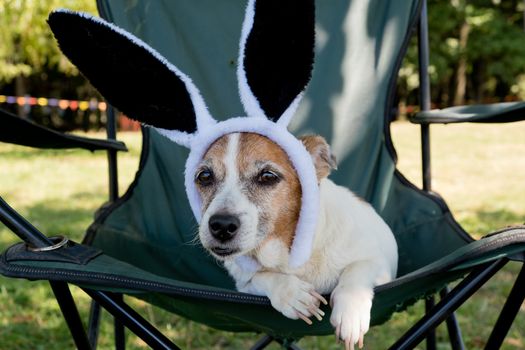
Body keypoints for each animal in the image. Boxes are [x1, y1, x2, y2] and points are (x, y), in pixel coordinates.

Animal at [193, 131, 398, 348]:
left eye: (267, 176)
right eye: (204, 176)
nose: (221, 225)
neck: (287, 253)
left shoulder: (381, 266)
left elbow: (355, 271)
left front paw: (351, 314)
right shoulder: (245, 286)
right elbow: (263, 277)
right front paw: (292, 294)